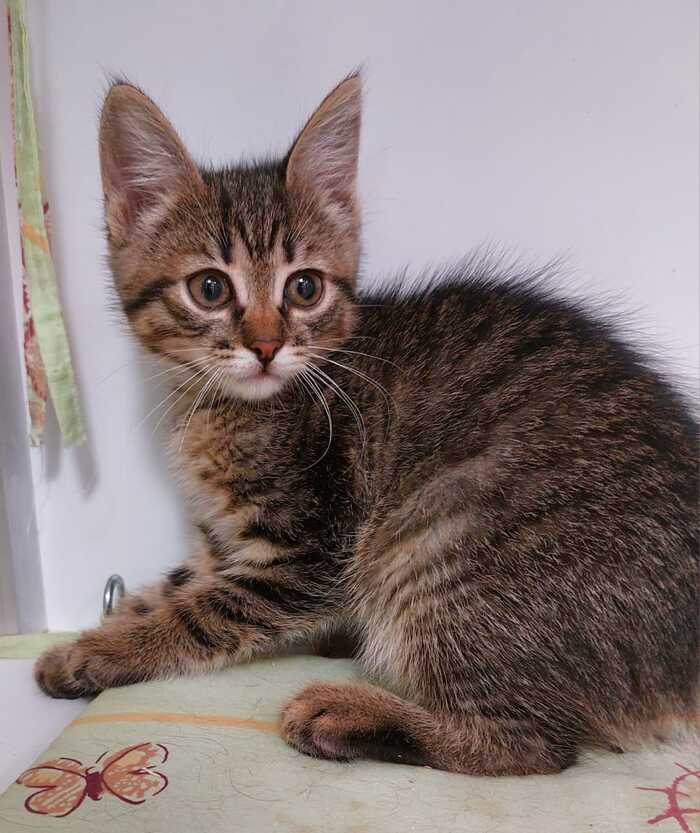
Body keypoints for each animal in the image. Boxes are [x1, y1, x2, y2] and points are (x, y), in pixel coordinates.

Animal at [35, 73, 698, 776]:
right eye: (210, 288)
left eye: (304, 288)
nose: (266, 347)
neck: (220, 407)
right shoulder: (223, 543)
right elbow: (166, 588)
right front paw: (74, 649)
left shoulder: (307, 552)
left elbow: (199, 612)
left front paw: (107, 652)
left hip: (438, 539)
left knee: (532, 745)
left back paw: (343, 713)